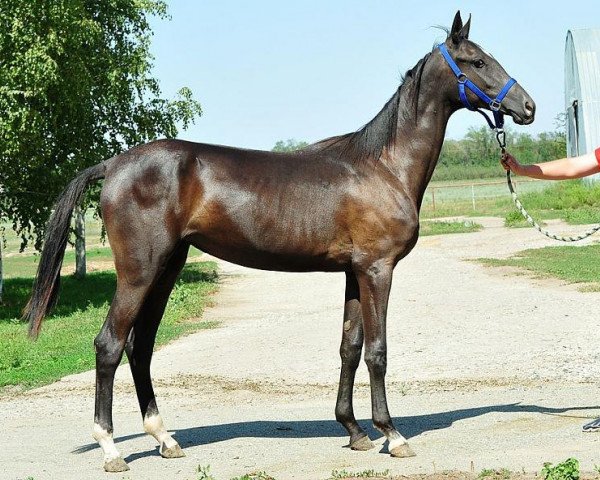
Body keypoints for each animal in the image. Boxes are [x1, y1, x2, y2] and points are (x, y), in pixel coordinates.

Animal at [23, 11, 536, 472]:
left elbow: (350, 347)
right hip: (139, 272)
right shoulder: (377, 269)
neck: (383, 167)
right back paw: (110, 449)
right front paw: (392, 434)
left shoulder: (354, 273)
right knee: (110, 344)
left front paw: (354, 431)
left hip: (166, 269)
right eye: (475, 61)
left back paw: (165, 439)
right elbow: (377, 351)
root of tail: (112, 164)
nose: (527, 107)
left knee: (140, 346)